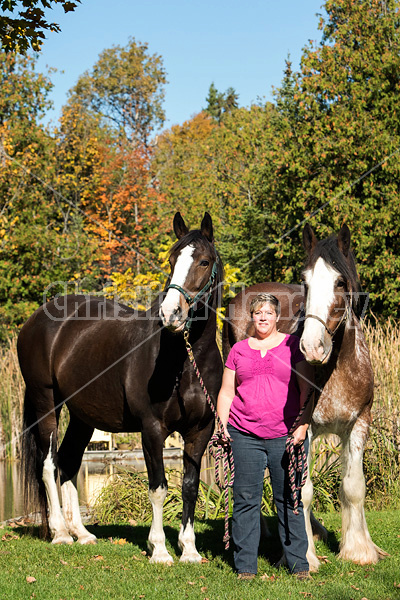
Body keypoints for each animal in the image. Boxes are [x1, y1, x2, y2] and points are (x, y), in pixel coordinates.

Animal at [18, 212, 223, 564]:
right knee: (48, 464)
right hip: (46, 404)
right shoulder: (152, 429)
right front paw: (159, 550)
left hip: (83, 417)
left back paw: (83, 534)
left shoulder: (200, 431)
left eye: (204, 261)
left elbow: (189, 485)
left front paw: (190, 550)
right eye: (172, 260)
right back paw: (60, 533)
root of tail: (35, 321)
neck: (185, 361)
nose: (170, 314)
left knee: (69, 462)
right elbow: (158, 486)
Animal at [223, 223, 386, 568]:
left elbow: (353, 486)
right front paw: (306, 555)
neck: (335, 369)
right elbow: (305, 490)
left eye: (340, 281)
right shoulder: (304, 429)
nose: (311, 347)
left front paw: (359, 550)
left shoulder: (359, 424)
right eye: (305, 281)